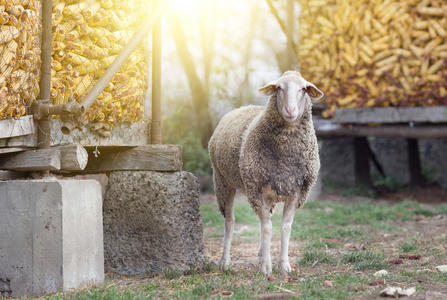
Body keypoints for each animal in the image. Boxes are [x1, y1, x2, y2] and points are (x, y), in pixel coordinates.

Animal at [208, 70, 324, 274]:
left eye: (303, 89)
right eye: (279, 88)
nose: (291, 110)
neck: (286, 158)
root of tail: (240, 108)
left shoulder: (298, 190)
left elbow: (284, 227)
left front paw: (284, 265)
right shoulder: (255, 188)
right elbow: (267, 228)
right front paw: (266, 267)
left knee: (263, 221)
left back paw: (261, 252)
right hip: (223, 182)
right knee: (230, 222)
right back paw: (224, 261)